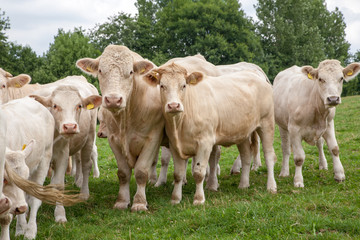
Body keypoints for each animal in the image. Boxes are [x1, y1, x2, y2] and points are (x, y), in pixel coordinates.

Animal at [29, 78, 101, 222]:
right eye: (55, 105)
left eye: (79, 106)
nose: (70, 126)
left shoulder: (62, 154)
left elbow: (59, 184)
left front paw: (60, 214)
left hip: (90, 138)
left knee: (86, 165)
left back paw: (84, 193)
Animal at [139, 61, 278, 204]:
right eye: (162, 85)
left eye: (183, 85)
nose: (173, 105)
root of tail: (257, 75)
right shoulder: (174, 145)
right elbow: (178, 174)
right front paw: (175, 198)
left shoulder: (205, 143)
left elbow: (199, 172)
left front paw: (199, 199)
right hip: (242, 133)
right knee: (246, 156)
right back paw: (243, 184)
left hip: (267, 124)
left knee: (269, 155)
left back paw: (271, 186)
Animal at [272, 60, 360, 188]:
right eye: (320, 79)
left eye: (341, 78)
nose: (333, 99)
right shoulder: (294, 129)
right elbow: (299, 157)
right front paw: (298, 181)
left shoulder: (329, 125)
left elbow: (334, 149)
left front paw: (339, 175)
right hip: (282, 126)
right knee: (286, 148)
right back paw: (284, 172)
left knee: (319, 144)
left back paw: (323, 164)